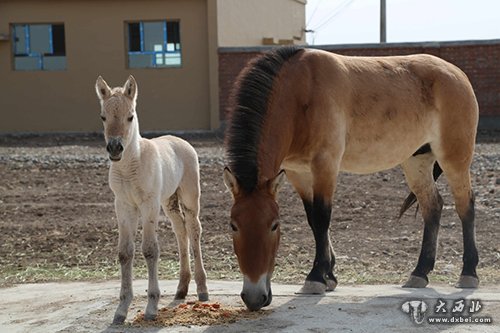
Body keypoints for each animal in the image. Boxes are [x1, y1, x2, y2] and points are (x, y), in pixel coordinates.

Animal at [224, 45, 480, 310]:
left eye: (274, 225)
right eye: (233, 225)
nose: (254, 297)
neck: (300, 94)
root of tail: (457, 75)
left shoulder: (325, 164)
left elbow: (322, 217)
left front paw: (316, 278)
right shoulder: (297, 172)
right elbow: (312, 220)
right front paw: (329, 275)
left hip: (454, 159)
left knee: (465, 205)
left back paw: (468, 273)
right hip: (416, 161)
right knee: (433, 207)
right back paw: (419, 273)